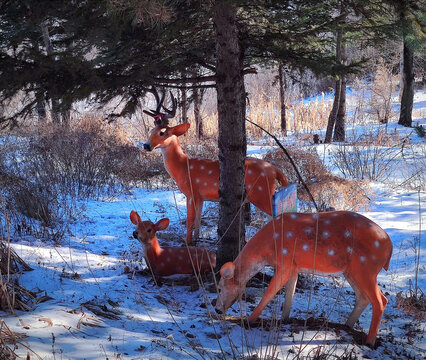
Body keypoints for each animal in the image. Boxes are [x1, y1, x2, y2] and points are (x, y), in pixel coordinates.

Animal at [144, 88, 290, 243]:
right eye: (150, 131)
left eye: (162, 133)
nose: (146, 145)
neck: (183, 166)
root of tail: (274, 170)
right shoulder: (201, 197)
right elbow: (197, 223)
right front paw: (196, 241)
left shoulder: (192, 192)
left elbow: (190, 221)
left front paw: (187, 242)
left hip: (261, 193)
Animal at [215, 211, 394, 346]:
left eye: (220, 287)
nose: (216, 309)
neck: (268, 247)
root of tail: (389, 247)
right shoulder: (294, 267)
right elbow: (290, 293)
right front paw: (284, 318)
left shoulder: (285, 262)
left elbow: (269, 292)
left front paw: (249, 320)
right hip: (351, 271)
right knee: (363, 297)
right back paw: (346, 325)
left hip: (366, 269)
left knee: (380, 300)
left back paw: (370, 341)